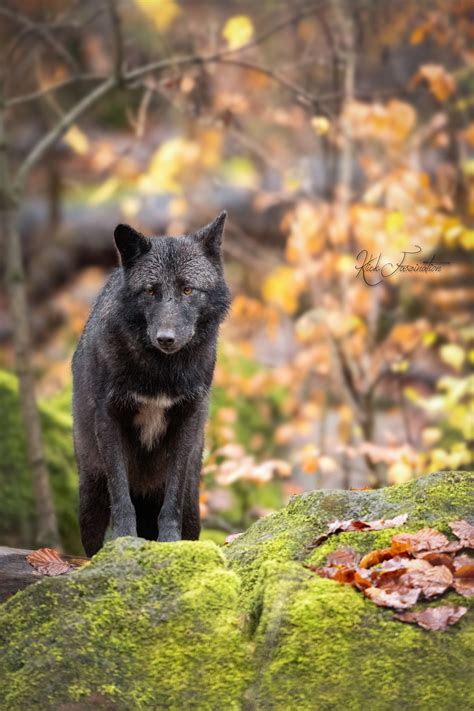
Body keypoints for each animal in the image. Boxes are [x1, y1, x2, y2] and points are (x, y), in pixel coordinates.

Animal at [72, 212, 230, 556]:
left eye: (188, 290)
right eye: (150, 291)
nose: (165, 338)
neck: (161, 373)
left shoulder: (187, 419)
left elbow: (171, 502)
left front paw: (169, 543)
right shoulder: (109, 419)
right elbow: (121, 497)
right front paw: (124, 541)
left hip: (194, 506)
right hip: (90, 497)